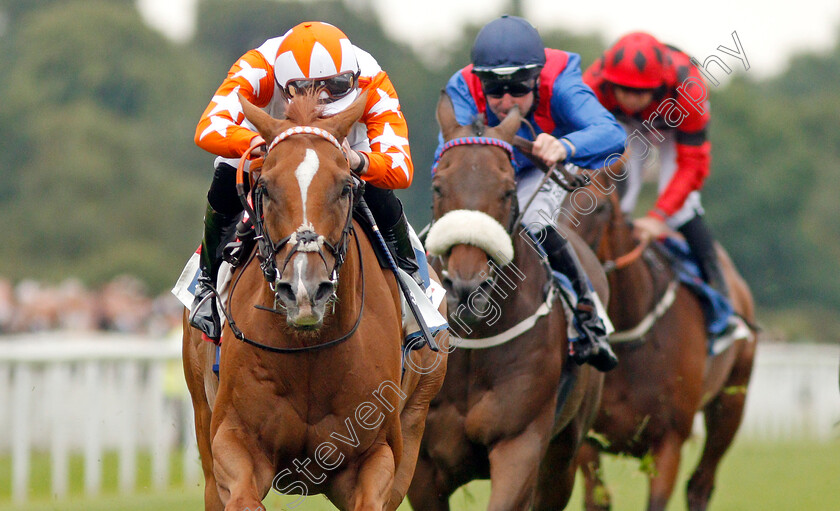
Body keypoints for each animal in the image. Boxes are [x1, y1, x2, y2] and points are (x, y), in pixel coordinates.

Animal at [180, 92, 450, 511]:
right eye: (266, 187)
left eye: (344, 188)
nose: (304, 290)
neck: (310, 352)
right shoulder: (232, 440)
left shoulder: (377, 457)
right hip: (201, 415)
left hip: (417, 413)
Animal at [406, 93, 604, 511]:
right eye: (438, 187)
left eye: (508, 190)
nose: (467, 287)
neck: (473, 346)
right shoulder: (423, 464)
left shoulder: (521, 445)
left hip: (564, 455)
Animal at [564, 166, 760, 510]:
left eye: (600, 207)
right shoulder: (587, 440)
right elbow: (598, 499)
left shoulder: (669, 441)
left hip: (731, 402)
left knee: (700, 485)